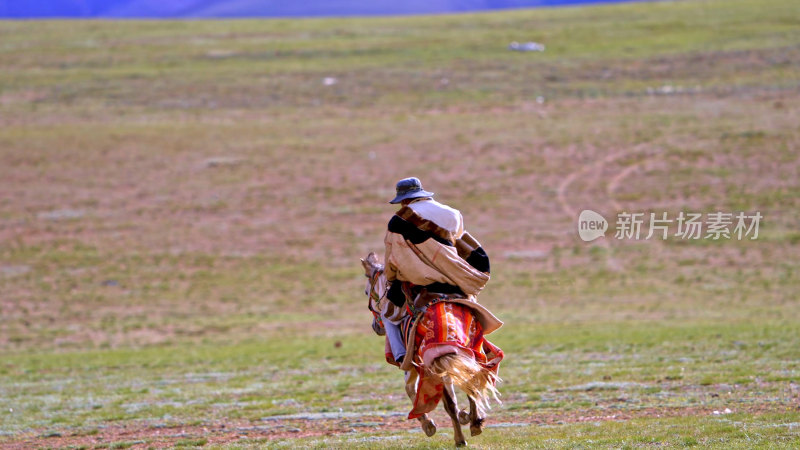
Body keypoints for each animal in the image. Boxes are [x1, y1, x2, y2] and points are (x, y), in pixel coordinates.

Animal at [360, 253, 504, 446]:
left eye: (367, 291)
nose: (376, 327)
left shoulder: (412, 364)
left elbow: (411, 390)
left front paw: (429, 425)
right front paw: (466, 416)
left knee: (453, 400)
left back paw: (460, 438)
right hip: (468, 353)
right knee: (472, 384)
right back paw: (475, 423)